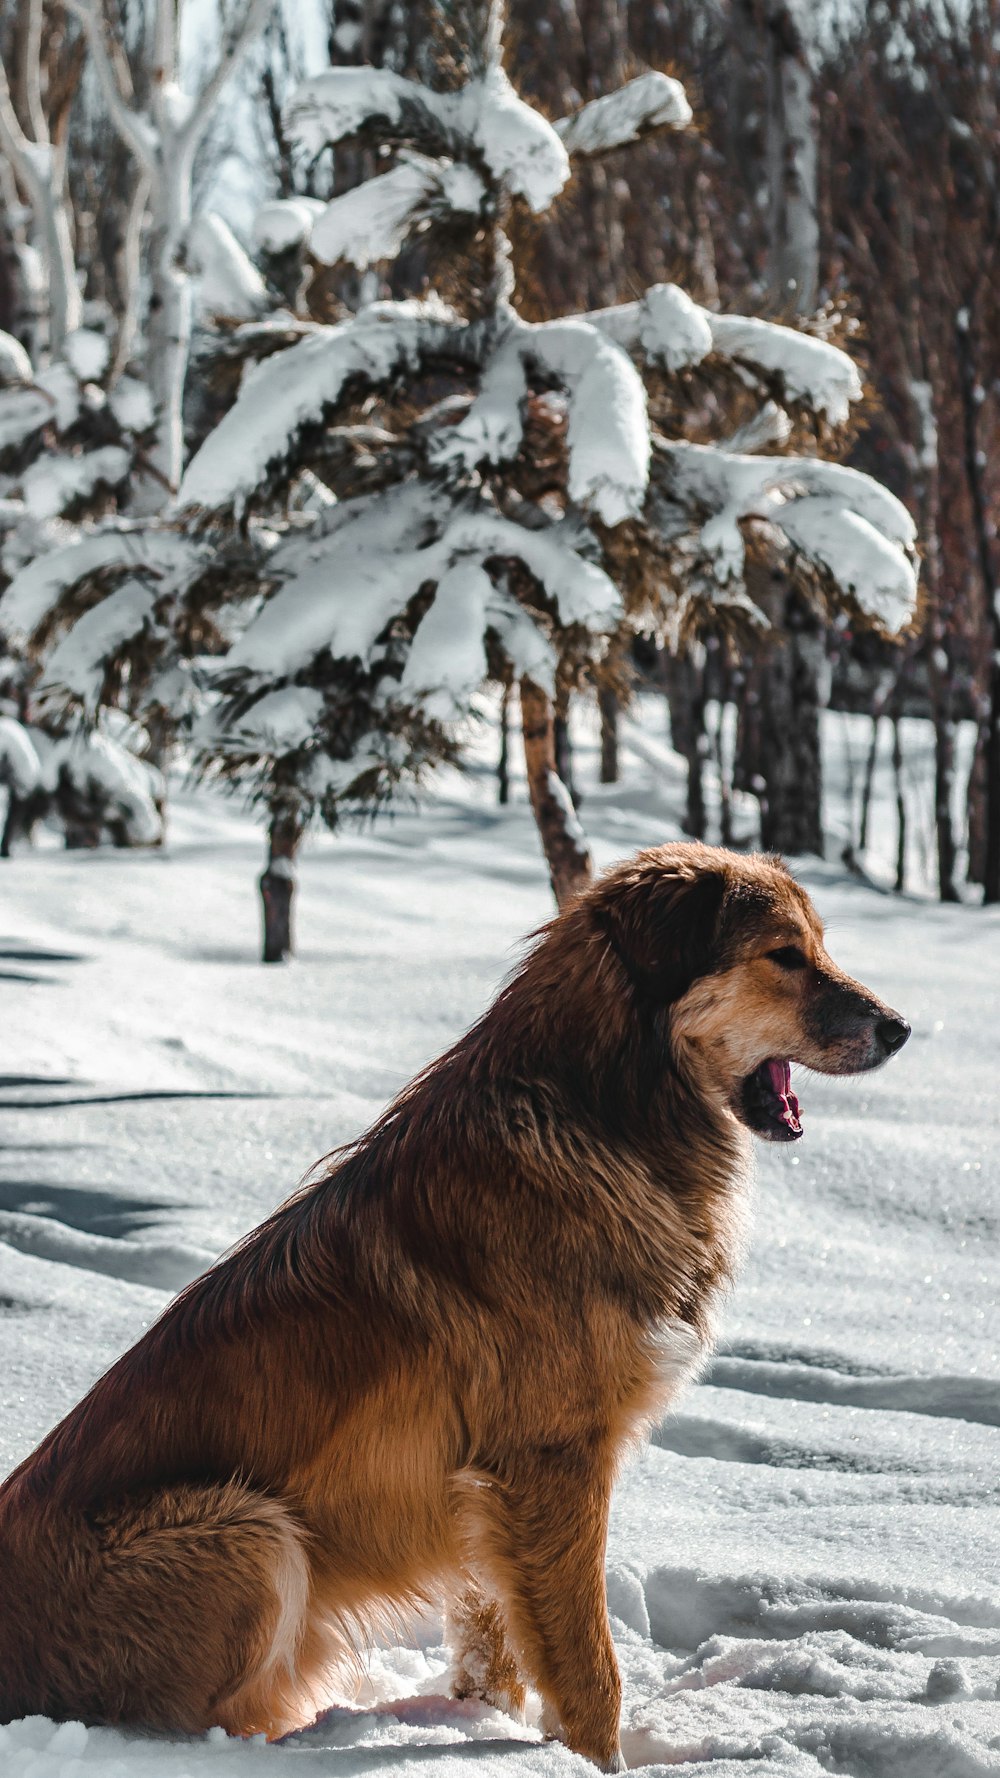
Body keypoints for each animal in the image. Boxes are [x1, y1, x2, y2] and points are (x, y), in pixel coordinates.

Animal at [0, 842, 903, 1763]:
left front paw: (483, 1723)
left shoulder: (487, 1491)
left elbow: (490, 1630)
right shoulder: (552, 1461)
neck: (605, 1110)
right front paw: (594, 1761)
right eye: (784, 955)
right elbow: (587, 1660)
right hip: (251, 1534)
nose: (900, 1029)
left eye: (820, 947)